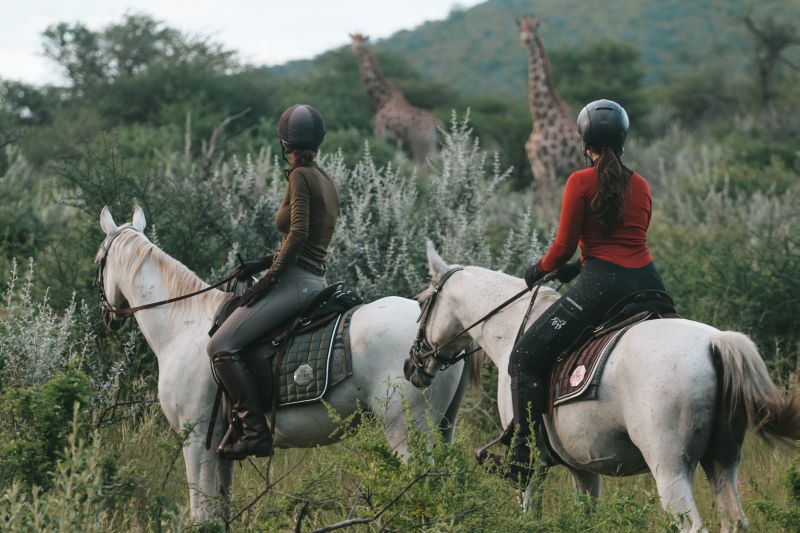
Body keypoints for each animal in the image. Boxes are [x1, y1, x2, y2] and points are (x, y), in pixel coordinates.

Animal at [94, 207, 472, 520]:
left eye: (99, 260)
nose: (107, 316)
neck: (183, 325)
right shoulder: (221, 448)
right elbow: (218, 513)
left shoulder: (198, 440)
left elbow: (200, 513)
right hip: (441, 428)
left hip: (407, 431)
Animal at [348, 34, 440, 163]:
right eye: (352, 41)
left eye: (362, 42)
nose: (355, 49)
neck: (382, 99)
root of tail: (437, 125)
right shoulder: (396, 141)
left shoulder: (379, 132)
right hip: (431, 147)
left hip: (420, 145)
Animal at [412, 244, 800, 532]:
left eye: (420, 302)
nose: (413, 366)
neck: (511, 327)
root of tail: (715, 342)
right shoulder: (583, 469)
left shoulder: (534, 472)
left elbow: (531, 514)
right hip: (723, 461)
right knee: (734, 520)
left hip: (670, 469)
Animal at [520, 17, 580, 189]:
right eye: (521, 29)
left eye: (534, 29)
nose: (526, 40)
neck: (540, 120)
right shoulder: (536, 168)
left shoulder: (547, 166)